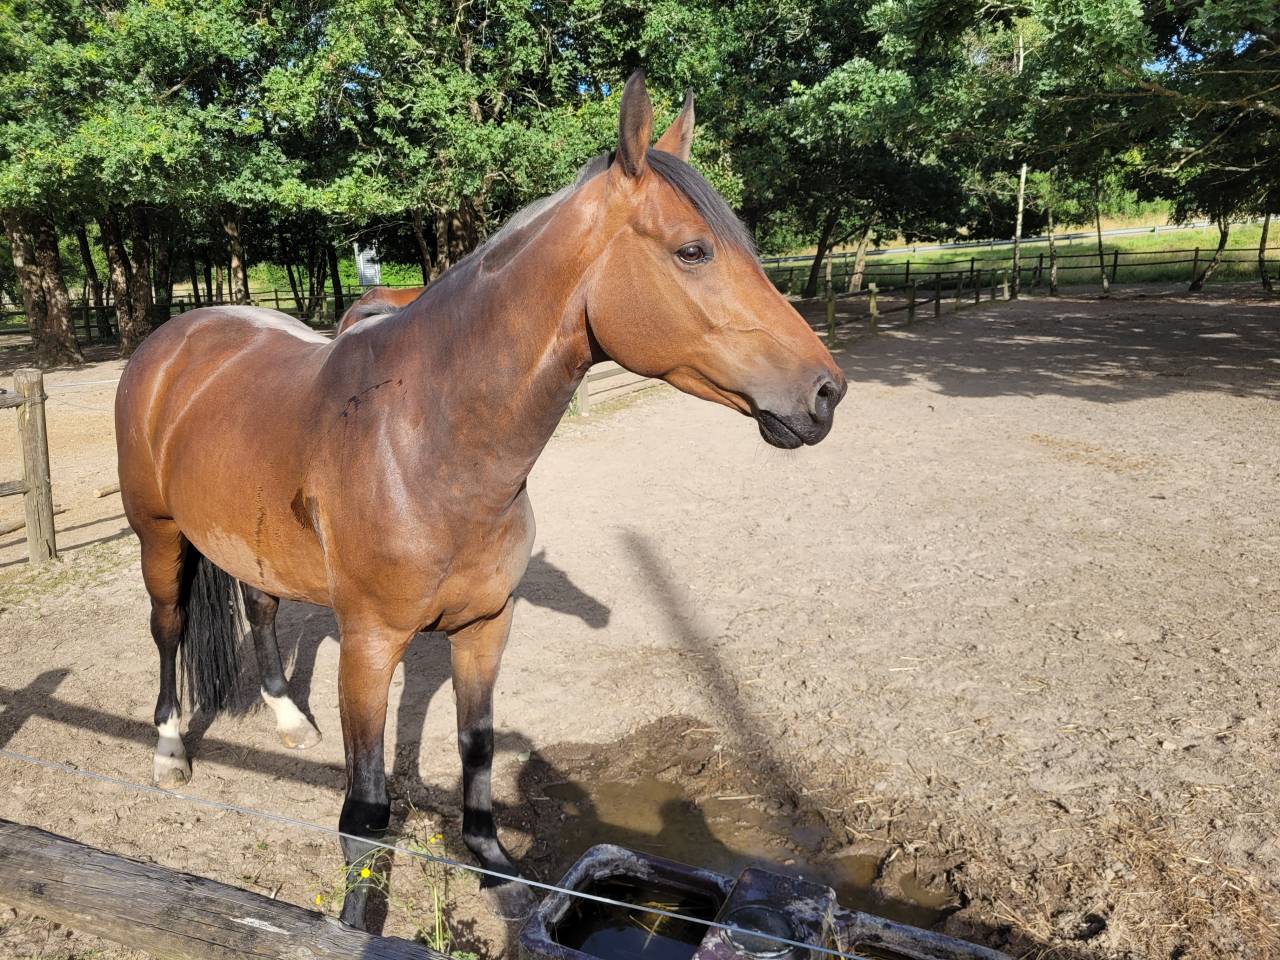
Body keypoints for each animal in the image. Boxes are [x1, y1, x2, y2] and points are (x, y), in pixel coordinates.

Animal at [114, 71, 846, 930]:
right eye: (693, 250)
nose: (826, 391)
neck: (426, 440)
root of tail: (175, 337)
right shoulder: (369, 644)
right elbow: (366, 806)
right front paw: (358, 919)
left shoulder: (485, 627)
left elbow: (479, 749)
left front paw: (497, 870)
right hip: (160, 537)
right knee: (168, 628)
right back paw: (170, 751)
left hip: (250, 547)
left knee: (260, 613)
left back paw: (289, 720)